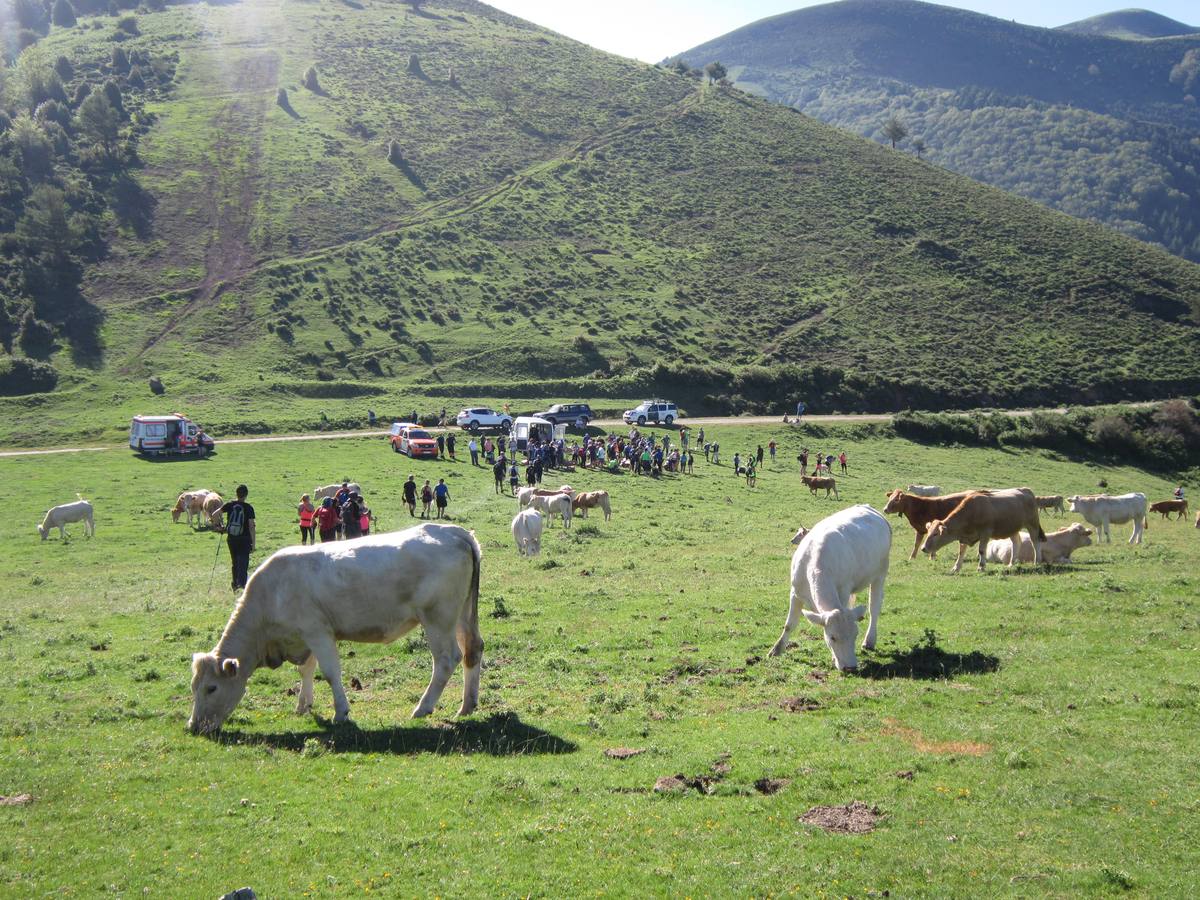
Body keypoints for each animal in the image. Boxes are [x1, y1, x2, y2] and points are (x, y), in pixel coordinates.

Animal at [189, 525, 480, 734]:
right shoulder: (307, 636)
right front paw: (303, 705)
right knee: (473, 650)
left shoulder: (317, 632)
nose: (193, 727)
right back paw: (467, 705)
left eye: (211, 688)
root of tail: (452, 531)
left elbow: (330, 673)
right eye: (193, 687)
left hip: (437, 618)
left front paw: (340, 712)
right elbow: (306, 669)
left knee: (447, 659)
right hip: (462, 615)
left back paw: (423, 707)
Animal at [768, 504, 892, 672]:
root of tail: (867, 507)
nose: (850, 668)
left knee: (874, 607)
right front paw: (776, 650)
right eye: (832, 637)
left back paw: (869, 640)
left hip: (880, 573)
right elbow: (789, 625)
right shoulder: (795, 592)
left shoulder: (843, 591)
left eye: (855, 635)